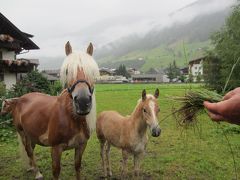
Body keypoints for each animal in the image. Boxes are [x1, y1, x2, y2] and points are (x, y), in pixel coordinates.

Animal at [0, 41, 99, 179]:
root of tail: (20, 100)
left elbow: (77, 167)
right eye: (67, 71)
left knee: (31, 149)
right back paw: (37, 172)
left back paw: (32, 167)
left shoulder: (81, 145)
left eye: (92, 71)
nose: (83, 102)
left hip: (31, 134)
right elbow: (56, 171)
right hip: (23, 133)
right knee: (29, 151)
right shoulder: (56, 148)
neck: (72, 119)